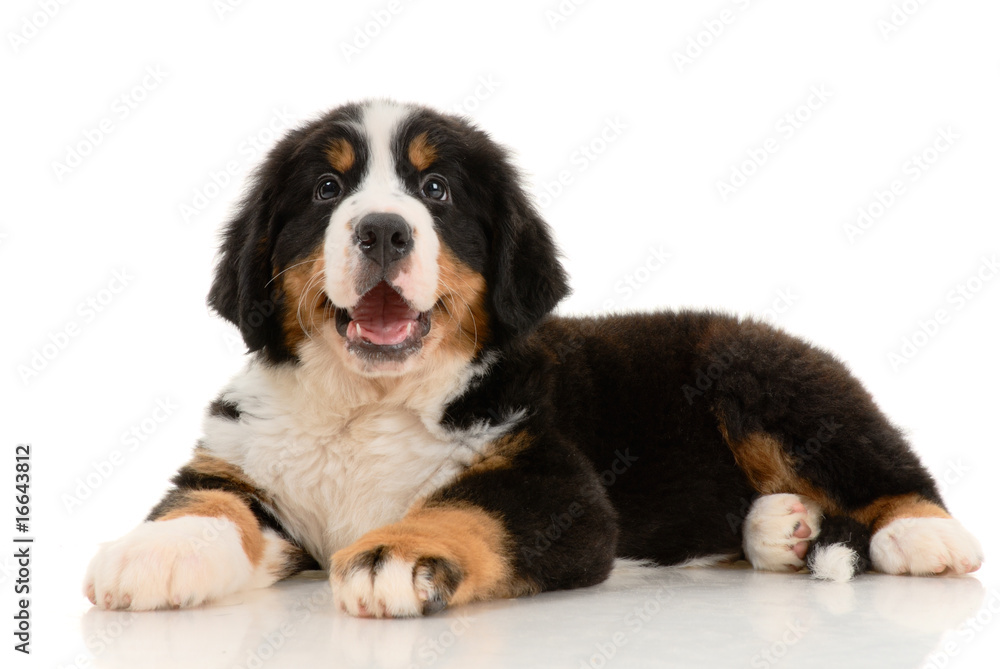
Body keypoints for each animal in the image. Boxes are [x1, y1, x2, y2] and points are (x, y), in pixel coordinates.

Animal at [82, 98, 980, 616]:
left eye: (436, 190)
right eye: (326, 191)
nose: (384, 230)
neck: (368, 403)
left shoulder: (556, 484)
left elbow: (470, 506)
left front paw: (399, 550)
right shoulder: (250, 466)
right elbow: (209, 503)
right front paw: (152, 551)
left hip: (763, 378)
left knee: (890, 470)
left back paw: (923, 535)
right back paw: (778, 529)